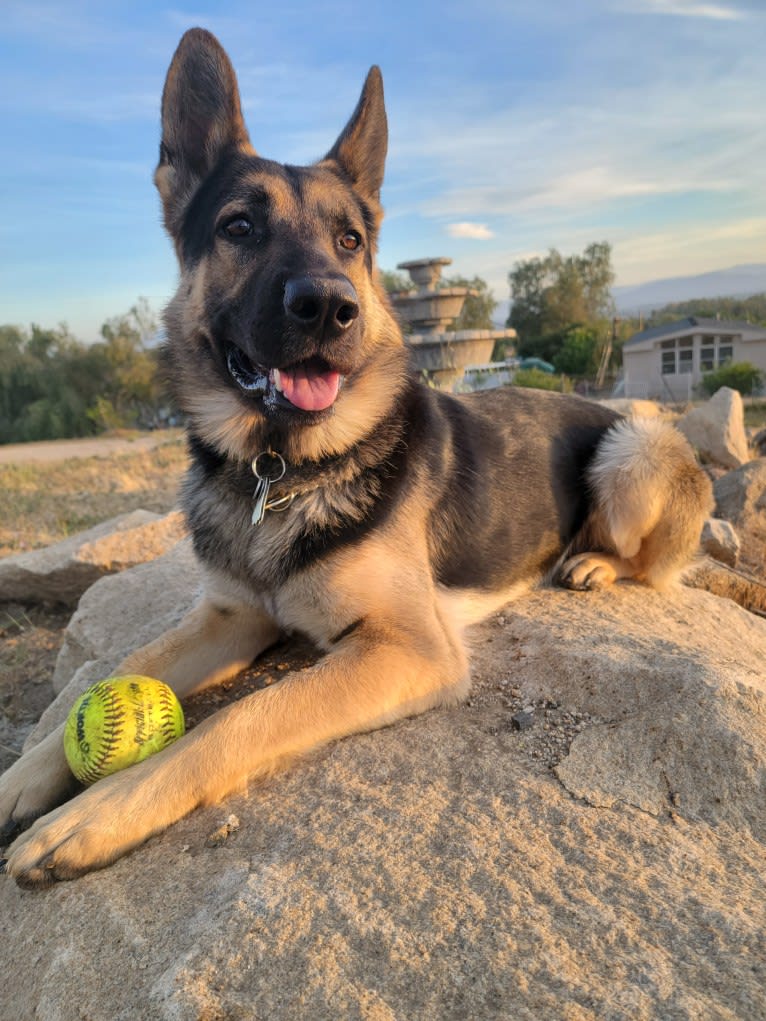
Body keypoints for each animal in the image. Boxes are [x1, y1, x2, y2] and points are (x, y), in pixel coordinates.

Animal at [0, 25, 714, 886]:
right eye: (239, 227)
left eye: (350, 241)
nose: (330, 307)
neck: (279, 469)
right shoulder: (228, 616)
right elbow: (123, 666)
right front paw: (27, 776)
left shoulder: (407, 647)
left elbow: (238, 718)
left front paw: (95, 812)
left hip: (632, 445)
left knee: (654, 561)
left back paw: (594, 561)